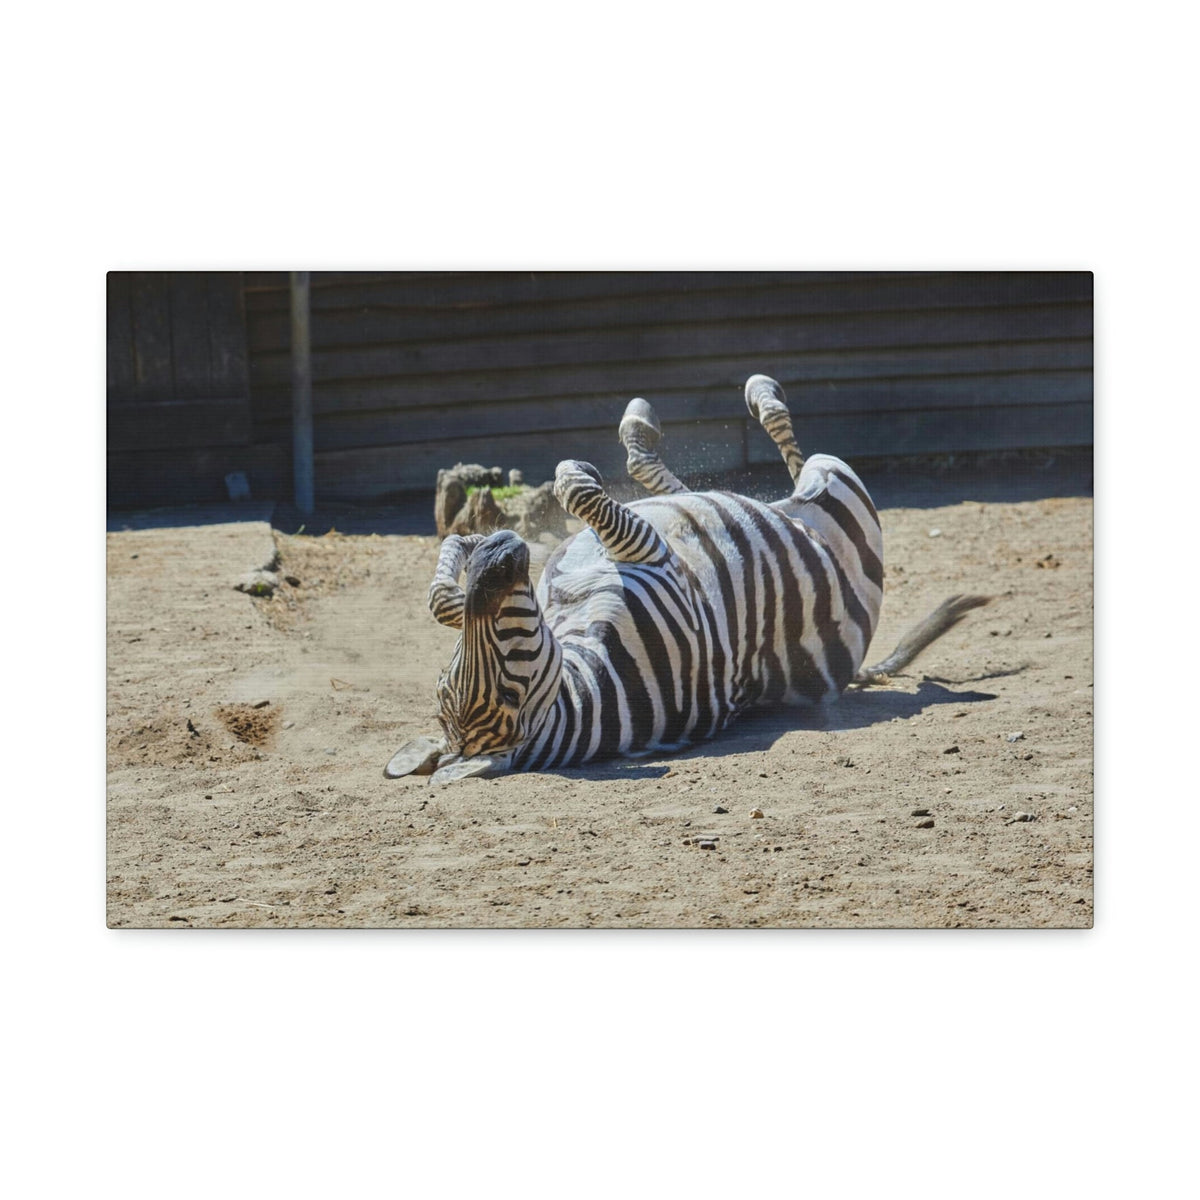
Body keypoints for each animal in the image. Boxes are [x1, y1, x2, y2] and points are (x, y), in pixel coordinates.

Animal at [387, 374, 988, 784]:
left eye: (455, 671)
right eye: (507, 686)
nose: (501, 551)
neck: (584, 682)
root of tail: (855, 665)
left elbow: (442, 599)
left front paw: (462, 549)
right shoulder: (653, 559)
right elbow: (573, 488)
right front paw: (569, 480)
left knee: (674, 481)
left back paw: (645, 422)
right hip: (840, 492)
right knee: (793, 460)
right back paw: (758, 394)